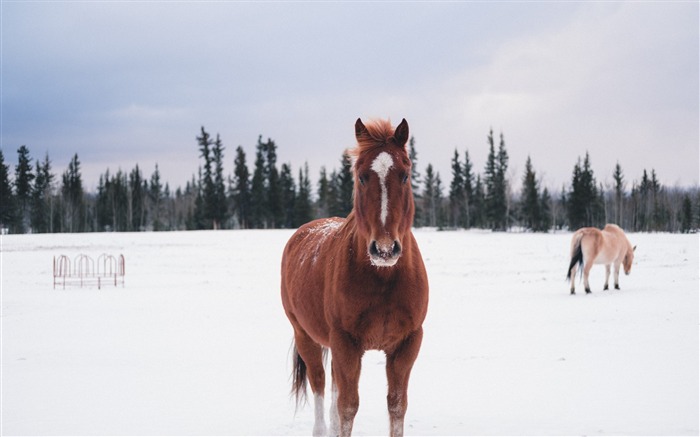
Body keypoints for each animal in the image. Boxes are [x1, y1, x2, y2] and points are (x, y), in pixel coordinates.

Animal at [282, 117, 430, 434]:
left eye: (405, 175)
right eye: (361, 176)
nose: (384, 249)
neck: (383, 279)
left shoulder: (407, 344)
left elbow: (396, 406)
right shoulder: (346, 343)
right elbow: (348, 407)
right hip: (306, 336)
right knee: (320, 384)